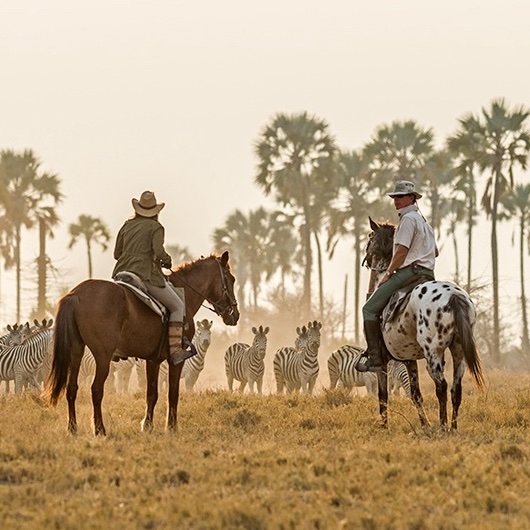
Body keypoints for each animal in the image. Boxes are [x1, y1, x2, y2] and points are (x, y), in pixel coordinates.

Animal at [44, 251, 238, 434]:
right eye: (232, 279)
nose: (235, 315)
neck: (184, 294)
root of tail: (76, 294)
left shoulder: (153, 360)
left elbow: (151, 393)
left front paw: (148, 426)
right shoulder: (176, 360)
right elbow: (173, 392)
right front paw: (172, 427)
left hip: (76, 350)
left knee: (72, 388)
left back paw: (73, 428)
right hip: (103, 357)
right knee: (96, 389)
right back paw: (100, 429)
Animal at [364, 217, 482, 426]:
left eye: (370, 237)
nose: (367, 257)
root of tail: (454, 297)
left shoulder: (383, 363)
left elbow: (383, 396)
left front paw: (384, 425)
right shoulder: (409, 359)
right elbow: (415, 394)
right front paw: (424, 425)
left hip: (432, 354)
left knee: (441, 387)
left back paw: (443, 426)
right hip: (458, 350)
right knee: (456, 389)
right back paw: (452, 427)